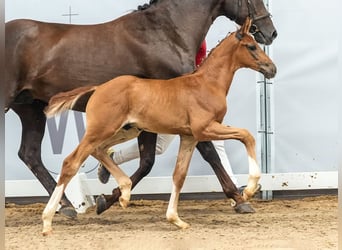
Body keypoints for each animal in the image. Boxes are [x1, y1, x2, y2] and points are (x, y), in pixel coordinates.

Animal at [4, 0, 278, 217]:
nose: (271, 32)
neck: (164, 33)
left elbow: (147, 161)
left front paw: (108, 198)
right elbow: (207, 152)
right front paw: (239, 198)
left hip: (31, 109)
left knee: (30, 154)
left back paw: (67, 206)